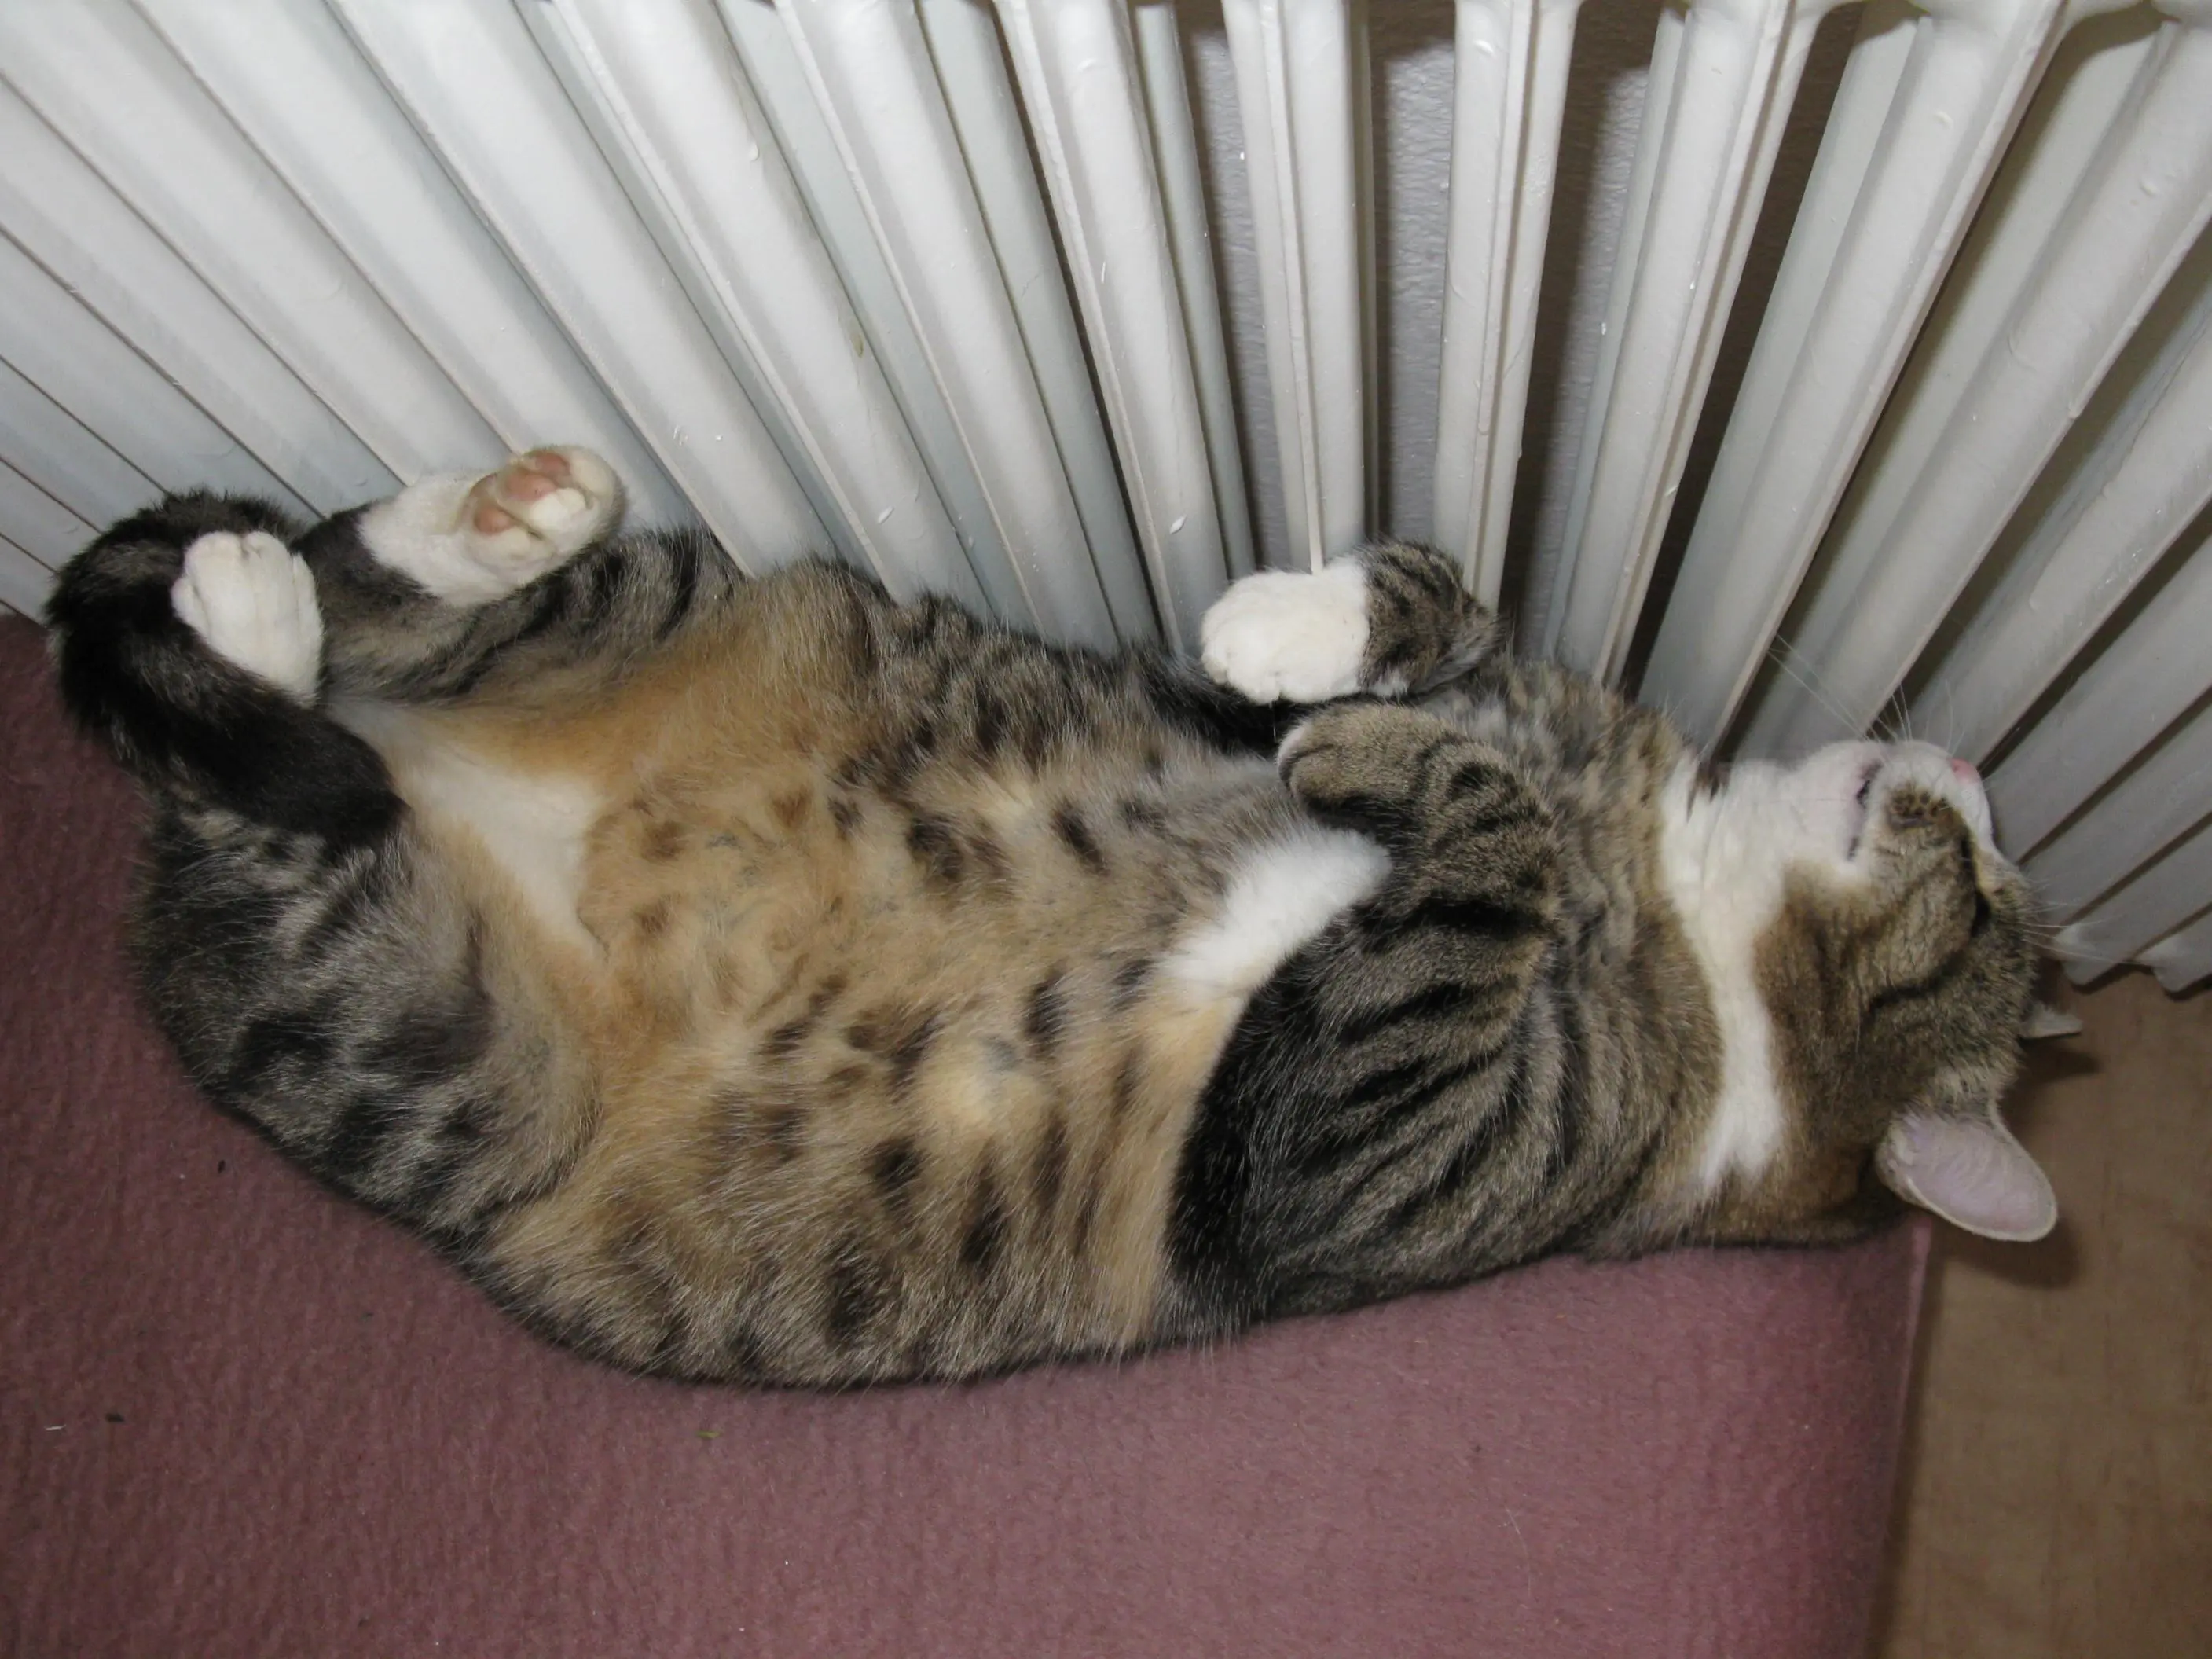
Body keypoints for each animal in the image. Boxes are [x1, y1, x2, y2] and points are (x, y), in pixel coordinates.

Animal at [46, 447, 2063, 1388]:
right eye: (1997, 874)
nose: (1967, 757)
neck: (1679, 881)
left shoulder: (1388, 1145)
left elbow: (1483, 851)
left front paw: (1379, 754)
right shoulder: (1490, 701)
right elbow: (1444, 593)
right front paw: (1298, 630)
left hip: (434, 1046)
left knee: (280, 764)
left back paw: (259, 625)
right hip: (675, 603)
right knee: (359, 598)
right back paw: (457, 526)